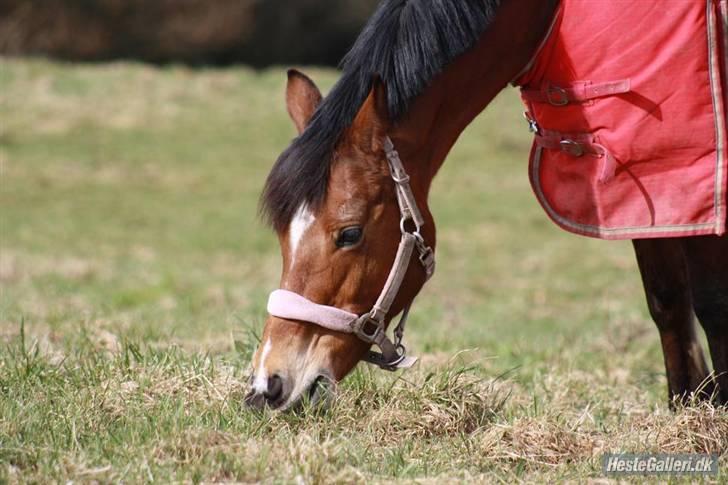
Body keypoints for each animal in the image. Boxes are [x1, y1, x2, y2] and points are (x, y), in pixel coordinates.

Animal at [246, 0, 728, 410]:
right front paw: (689, 408)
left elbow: (711, 303)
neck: (548, 16)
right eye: (283, 234)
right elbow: (667, 302)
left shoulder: (694, 179)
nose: (269, 386)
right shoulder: (643, 194)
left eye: (349, 233)